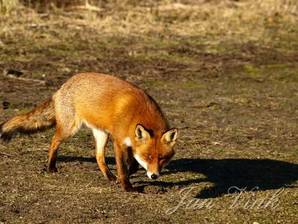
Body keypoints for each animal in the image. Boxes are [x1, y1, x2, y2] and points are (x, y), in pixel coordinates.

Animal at [0, 73, 177, 191]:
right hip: (70, 129)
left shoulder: (130, 144)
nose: (154, 176)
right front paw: (127, 186)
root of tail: (63, 86)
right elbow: (122, 167)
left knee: (98, 157)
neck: (136, 115)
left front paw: (125, 176)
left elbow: (131, 164)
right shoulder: (119, 142)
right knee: (54, 141)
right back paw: (51, 167)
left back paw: (109, 176)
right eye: (148, 157)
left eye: (162, 158)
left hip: (101, 134)